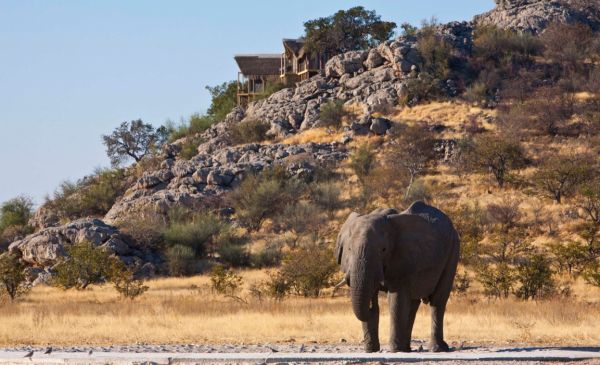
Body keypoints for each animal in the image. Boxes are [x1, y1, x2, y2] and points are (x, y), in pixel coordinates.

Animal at [332, 200, 460, 352]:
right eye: (349, 249)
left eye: (383, 249)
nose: (371, 305)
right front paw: (371, 350)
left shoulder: (402, 258)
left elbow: (396, 301)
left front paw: (395, 350)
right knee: (413, 304)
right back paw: (407, 349)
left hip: (453, 250)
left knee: (438, 301)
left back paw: (436, 348)